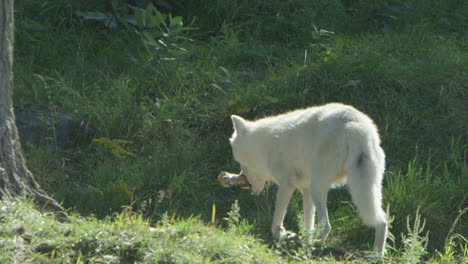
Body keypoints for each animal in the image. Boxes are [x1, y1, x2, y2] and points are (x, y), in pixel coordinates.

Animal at [229, 102, 388, 255]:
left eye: (242, 163)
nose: (243, 181)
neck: (266, 146)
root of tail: (355, 125)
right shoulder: (305, 189)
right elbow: (308, 223)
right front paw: (303, 240)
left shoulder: (287, 185)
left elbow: (277, 220)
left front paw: (280, 235)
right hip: (363, 188)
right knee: (382, 221)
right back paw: (377, 255)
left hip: (318, 188)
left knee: (326, 226)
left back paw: (317, 244)